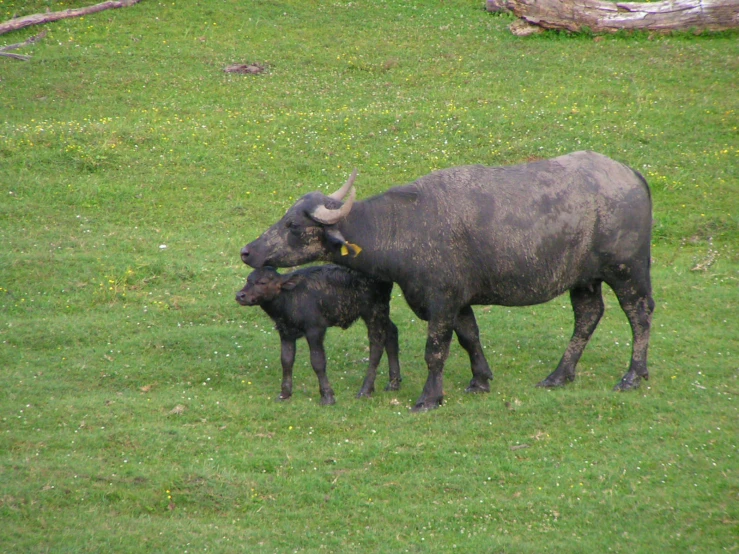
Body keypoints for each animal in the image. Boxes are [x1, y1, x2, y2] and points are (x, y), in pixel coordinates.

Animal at [236, 266, 398, 404]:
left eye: (263, 282)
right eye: (248, 279)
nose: (240, 295)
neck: (290, 298)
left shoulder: (315, 330)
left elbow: (318, 361)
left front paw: (327, 396)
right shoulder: (286, 332)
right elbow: (286, 360)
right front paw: (284, 394)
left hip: (374, 311)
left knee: (376, 344)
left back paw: (365, 390)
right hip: (381, 313)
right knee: (391, 332)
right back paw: (393, 383)